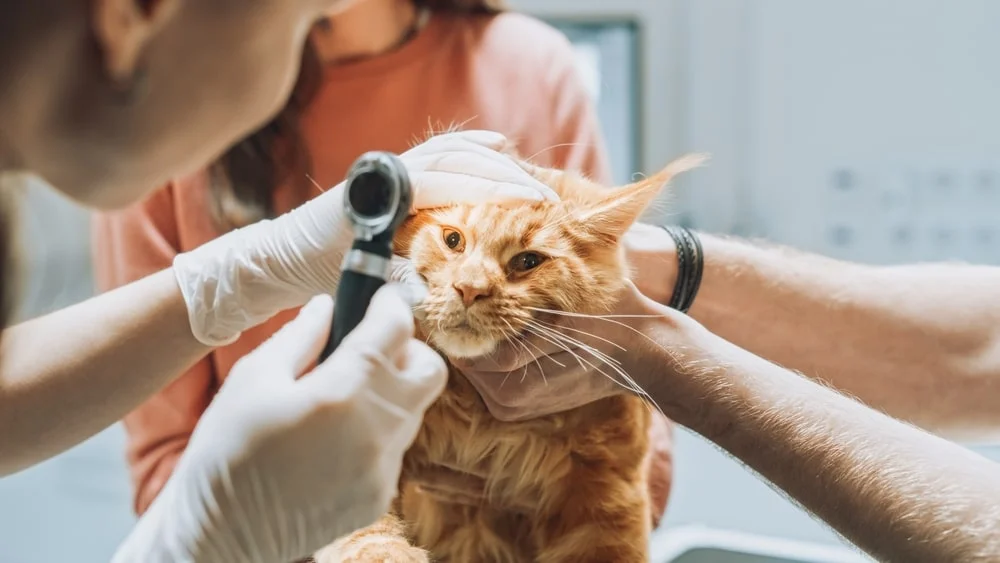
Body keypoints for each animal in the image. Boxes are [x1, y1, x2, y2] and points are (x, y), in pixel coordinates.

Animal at [312, 143, 704, 560]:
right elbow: (369, 540)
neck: (478, 420)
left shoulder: (609, 497)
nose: (470, 289)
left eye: (527, 261)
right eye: (453, 240)